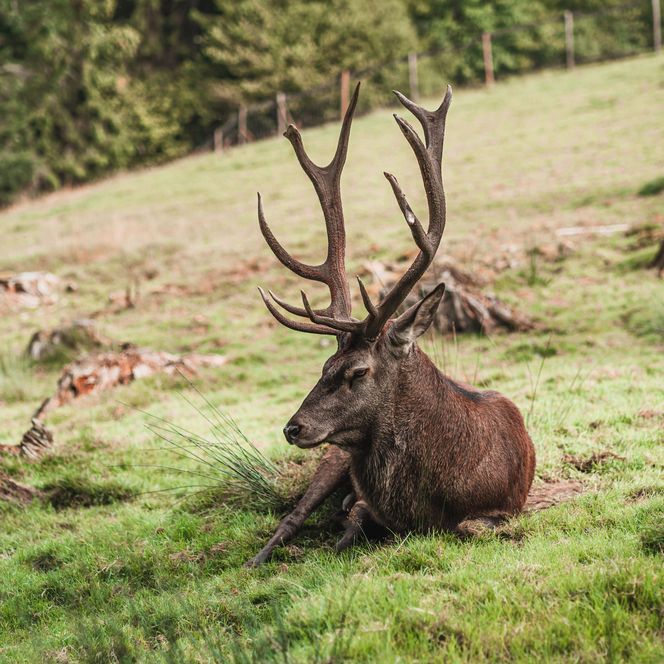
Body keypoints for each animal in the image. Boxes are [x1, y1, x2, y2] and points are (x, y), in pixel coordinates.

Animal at [246, 82, 536, 567]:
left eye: (358, 370)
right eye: (324, 367)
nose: (293, 427)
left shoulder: (506, 505)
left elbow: (471, 526)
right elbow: (356, 516)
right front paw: (345, 528)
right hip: (331, 457)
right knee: (289, 518)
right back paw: (258, 558)